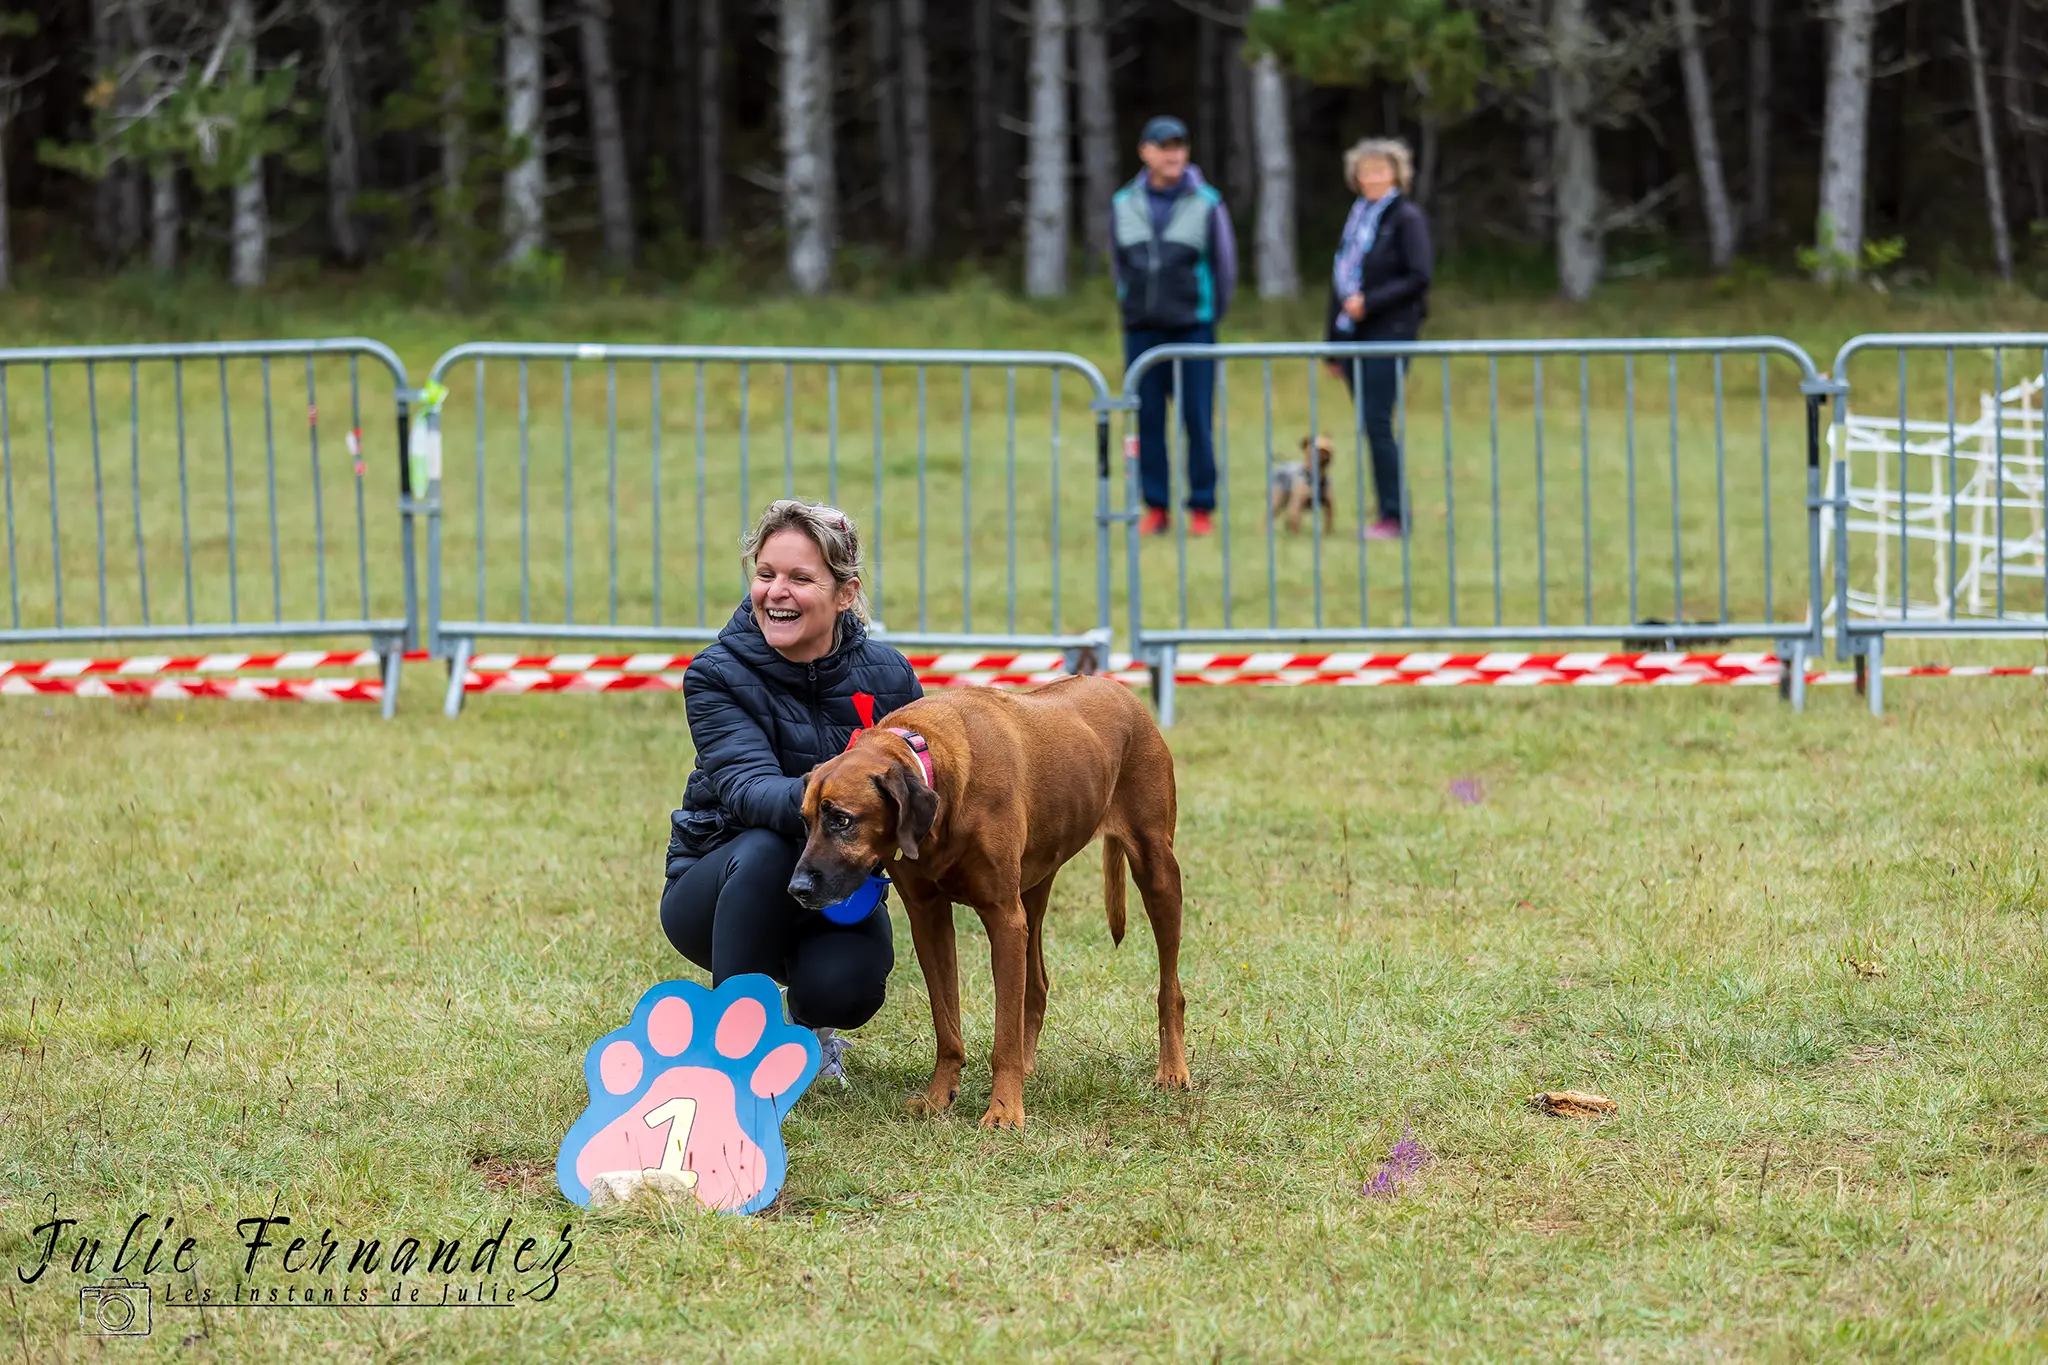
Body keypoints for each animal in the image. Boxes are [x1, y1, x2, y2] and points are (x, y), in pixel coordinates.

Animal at [790, 675, 1196, 1129]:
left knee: (1170, 989)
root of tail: (1118, 687)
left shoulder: (1003, 918)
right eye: (805, 820)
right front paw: (939, 1096)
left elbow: (1004, 1034)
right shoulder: (929, 920)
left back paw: (1172, 1069)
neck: (931, 763)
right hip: (1034, 889)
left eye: (842, 820)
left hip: (1156, 869)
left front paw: (1003, 1109)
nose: (797, 888)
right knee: (1036, 985)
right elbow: (947, 1025)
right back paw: (1029, 1064)